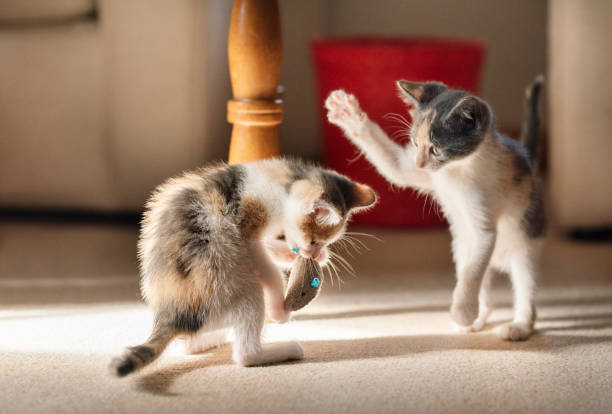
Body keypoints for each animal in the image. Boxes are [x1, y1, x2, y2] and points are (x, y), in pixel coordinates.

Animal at [112, 158, 376, 376]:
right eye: (314, 241)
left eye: (325, 242)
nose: (316, 253)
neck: (281, 181)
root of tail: (172, 315)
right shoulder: (246, 230)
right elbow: (268, 268)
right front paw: (279, 310)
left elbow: (273, 246)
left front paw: (302, 256)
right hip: (235, 289)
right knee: (245, 354)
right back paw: (285, 349)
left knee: (188, 344)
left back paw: (213, 340)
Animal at [326, 76, 544, 342]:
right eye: (415, 143)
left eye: (436, 149)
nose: (420, 164)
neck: (457, 170)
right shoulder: (424, 174)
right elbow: (394, 167)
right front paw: (348, 113)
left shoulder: (484, 224)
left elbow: (472, 271)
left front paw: (462, 312)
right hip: (462, 248)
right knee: (480, 282)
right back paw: (478, 320)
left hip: (524, 244)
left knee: (523, 285)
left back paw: (518, 326)